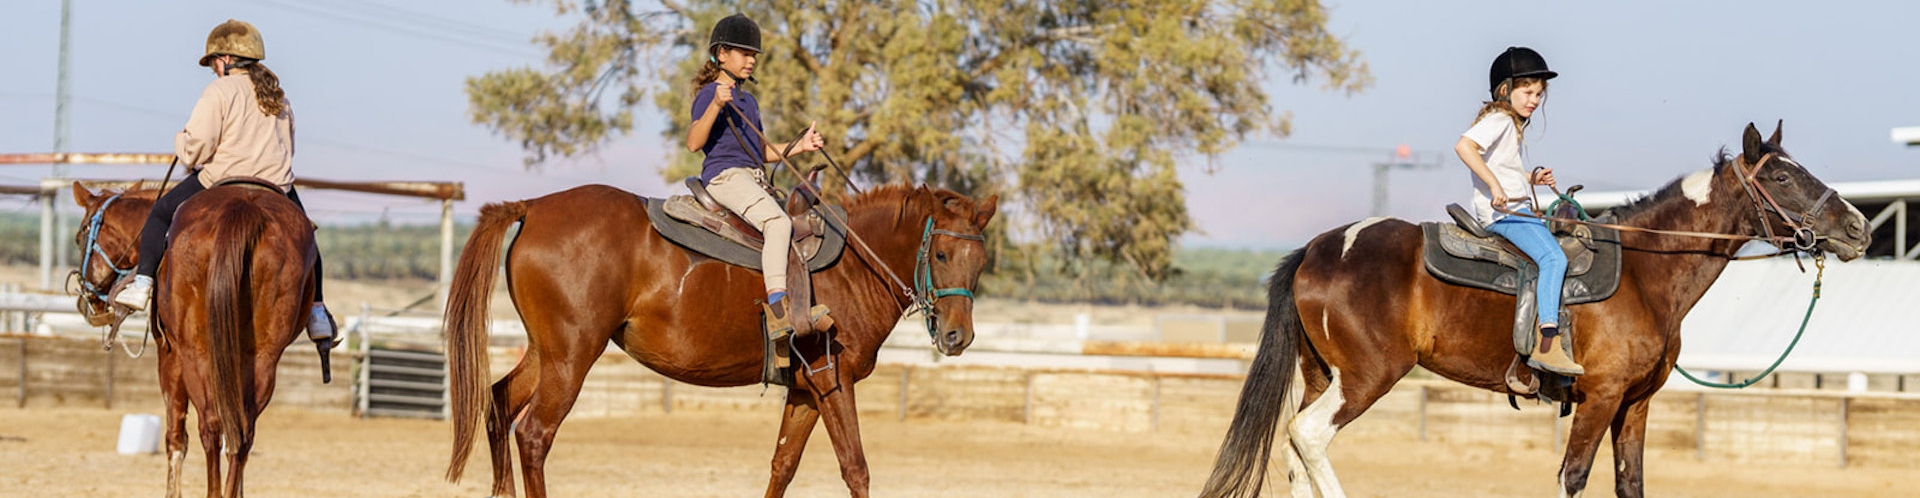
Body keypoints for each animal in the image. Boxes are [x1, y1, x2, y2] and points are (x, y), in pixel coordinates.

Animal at [72, 182, 322, 498]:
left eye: (80, 235)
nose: (88, 300)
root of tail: (244, 208)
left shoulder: (170, 356)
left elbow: (176, 435)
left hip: (196, 354)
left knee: (210, 426)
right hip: (262, 359)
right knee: (243, 431)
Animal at [439, 183, 998, 498]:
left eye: (980, 260)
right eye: (941, 255)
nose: (957, 336)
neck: (852, 266)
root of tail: (532, 206)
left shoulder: (804, 391)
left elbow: (782, 466)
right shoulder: (832, 380)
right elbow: (855, 469)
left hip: (547, 352)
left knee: (498, 403)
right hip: (572, 357)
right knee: (534, 434)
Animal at [1205, 122, 1866, 498]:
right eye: (1782, 178)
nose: (1858, 228)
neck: (1647, 271)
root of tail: (1320, 248)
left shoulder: (1636, 402)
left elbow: (1631, 483)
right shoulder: (1600, 397)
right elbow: (1573, 477)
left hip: (1324, 375)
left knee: (1296, 454)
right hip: (1367, 377)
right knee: (1308, 438)